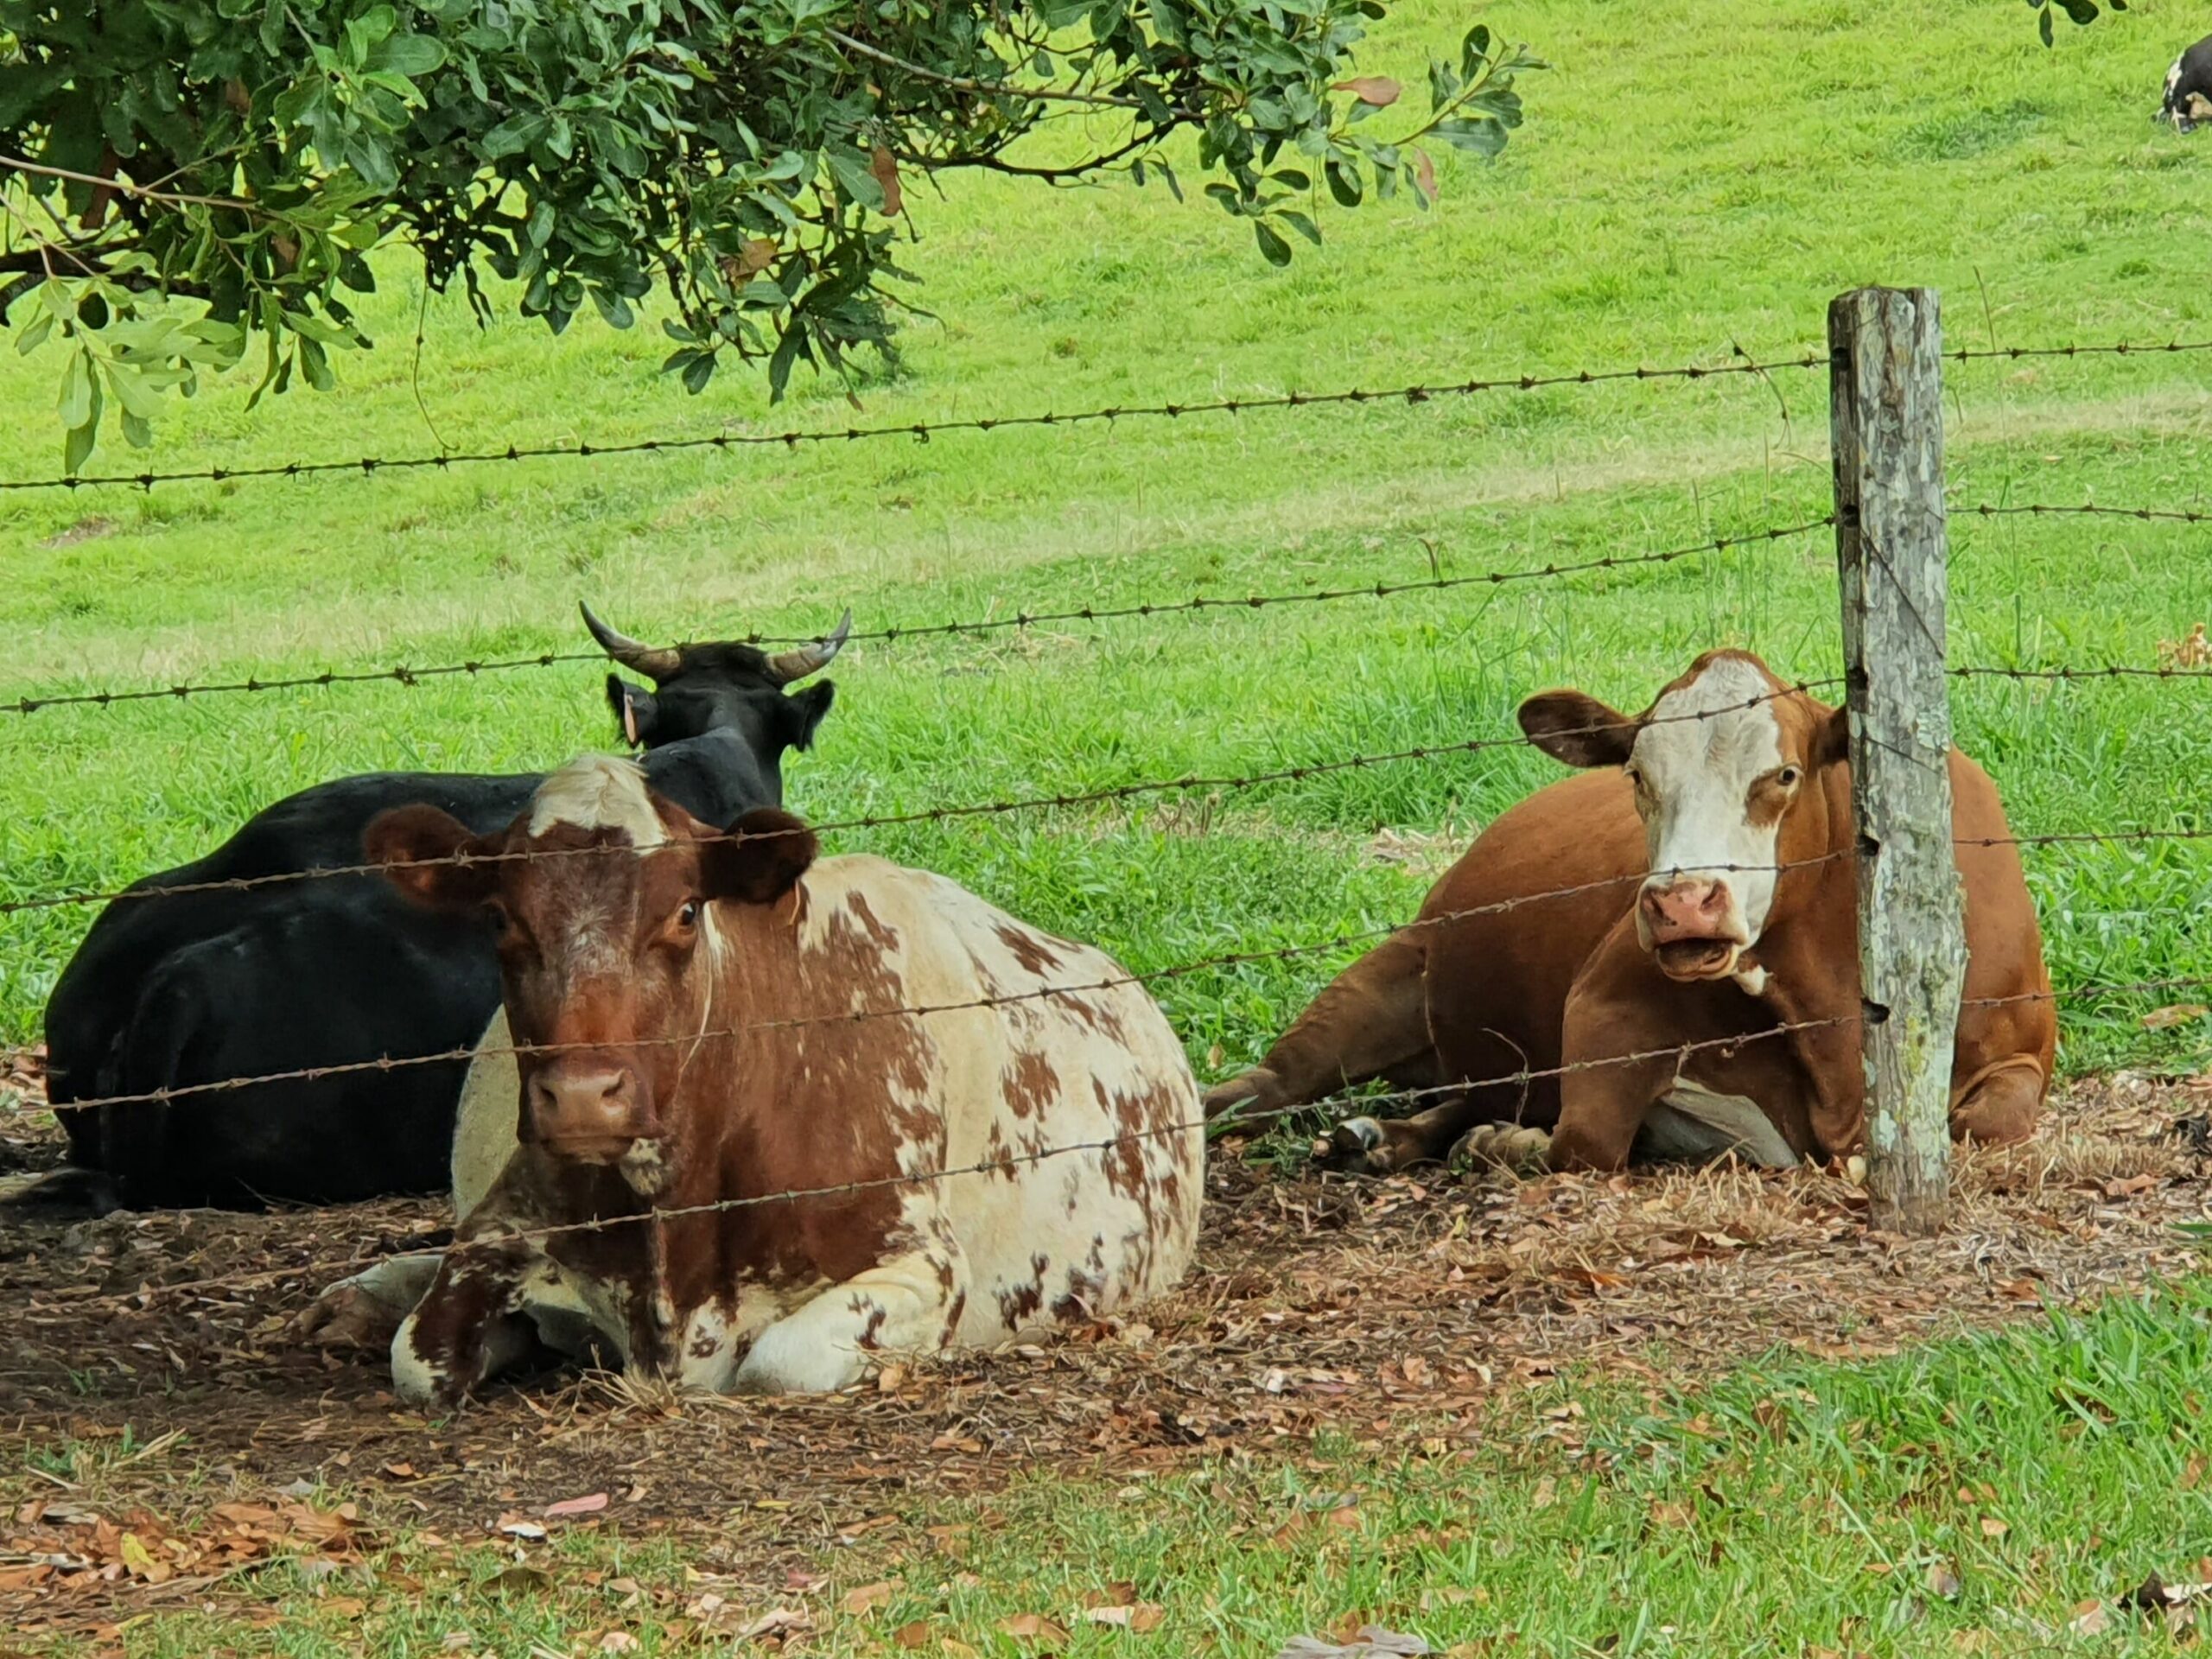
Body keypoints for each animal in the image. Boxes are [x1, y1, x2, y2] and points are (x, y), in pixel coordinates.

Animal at [321, 756, 1203, 1407]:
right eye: (502, 917)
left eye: (685, 912)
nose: (581, 1098)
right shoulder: (505, 1223)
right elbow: (419, 1358)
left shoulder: (923, 1263)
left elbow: (780, 1361)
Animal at [1211, 654, 2052, 1185]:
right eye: (1638, 776)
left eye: (1782, 775)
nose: (1680, 902)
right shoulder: (1604, 1005)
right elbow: (1585, 1141)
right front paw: (1507, 1147)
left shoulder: (2023, 1050)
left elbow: (1983, 1123)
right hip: (1388, 970)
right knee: (1268, 1084)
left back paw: (1387, 1136)